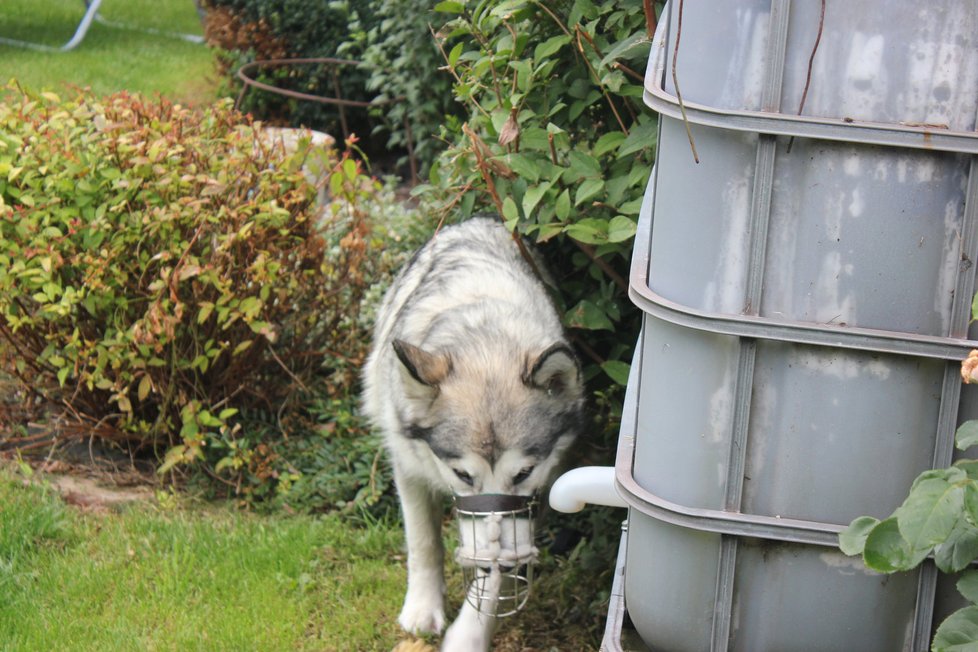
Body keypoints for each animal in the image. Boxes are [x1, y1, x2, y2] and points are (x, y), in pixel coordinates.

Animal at [362, 218, 584, 648]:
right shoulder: (409, 469)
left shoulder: (532, 497)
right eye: (463, 475)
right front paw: (423, 609)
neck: (486, 340)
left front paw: (468, 637)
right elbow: (424, 543)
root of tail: (481, 219)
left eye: (523, 472)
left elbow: (493, 576)